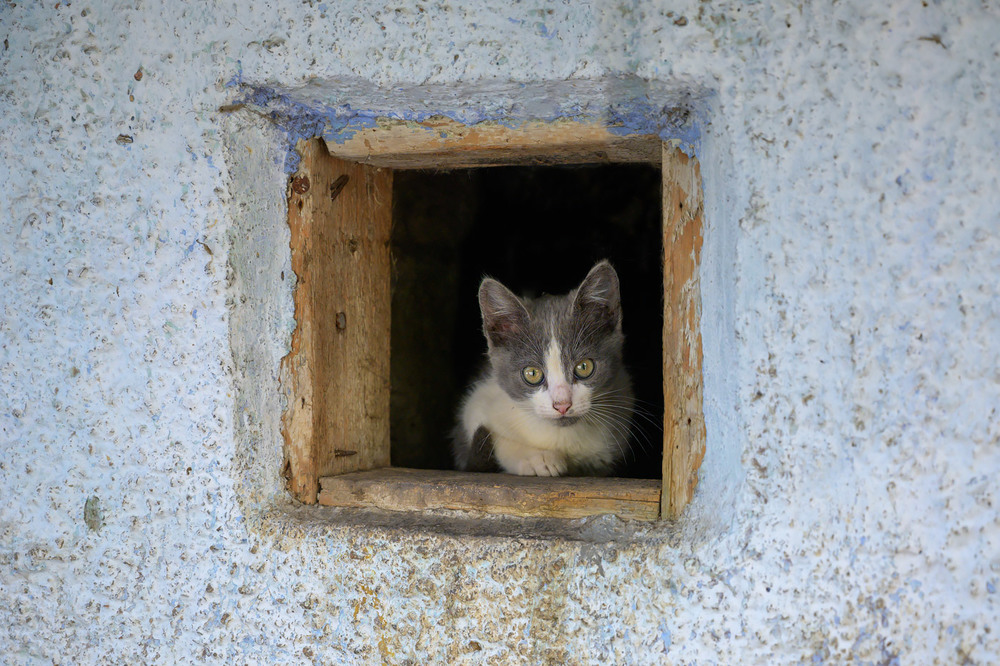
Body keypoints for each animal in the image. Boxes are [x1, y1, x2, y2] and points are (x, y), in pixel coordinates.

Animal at [452, 256, 632, 474]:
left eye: (584, 367)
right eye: (532, 373)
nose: (562, 405)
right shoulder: (475, 405)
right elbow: (495, 439)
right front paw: (538, 459)